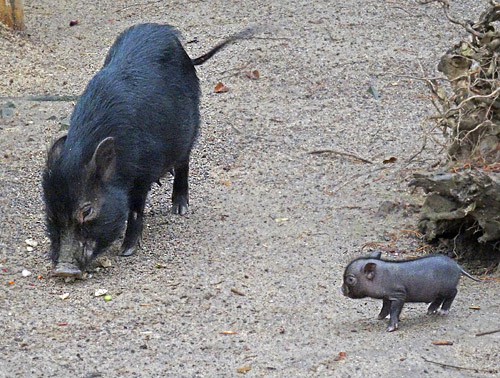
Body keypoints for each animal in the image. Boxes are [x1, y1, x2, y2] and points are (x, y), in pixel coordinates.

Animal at [43, 23, 254, 278]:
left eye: (87, 210)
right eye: (51, 212)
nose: (63, 270)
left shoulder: (143, 173)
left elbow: (135, 209)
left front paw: (127, 250)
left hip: (190, 125)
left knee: (184, 162)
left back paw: (179, 209)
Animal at [340, 254, 480, 330]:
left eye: (350, 279)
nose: (341, 289)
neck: (381, 277)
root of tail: (457, 266)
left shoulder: (399, 295)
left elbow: (394, 310)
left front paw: (390, 328)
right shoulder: (388, 296)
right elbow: (385, 307)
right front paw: (379, 318)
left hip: (448, 287)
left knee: (454, 293)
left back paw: (443, 312)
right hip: (439, 290)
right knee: (439, 297)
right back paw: (430, 311)